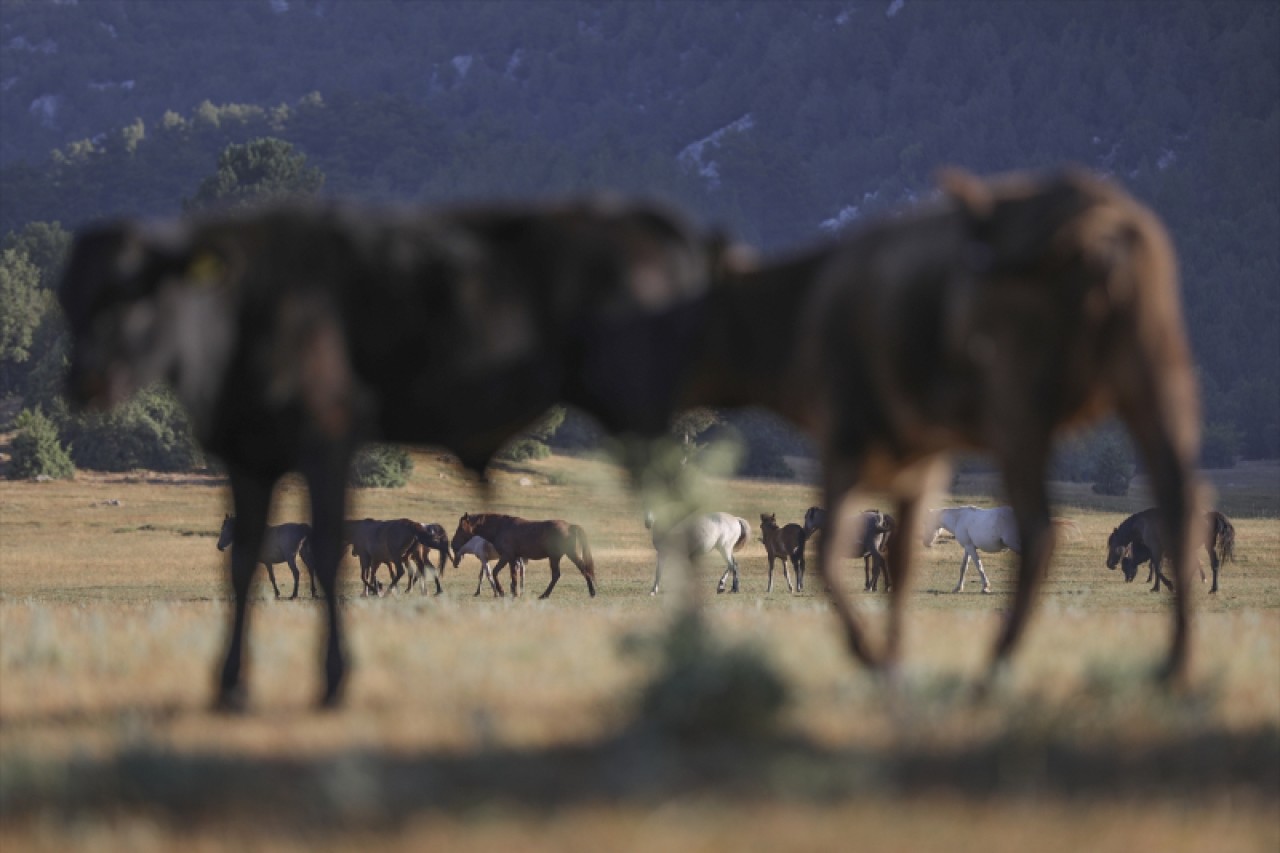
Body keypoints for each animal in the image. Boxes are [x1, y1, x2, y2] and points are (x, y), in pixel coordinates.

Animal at [450, 512, 593, 596]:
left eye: (460, 528)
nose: (453, 544)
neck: (501, 527)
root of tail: (570, 526)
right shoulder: (512, 558)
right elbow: (513, 576)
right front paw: (514, 593)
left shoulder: (506, 556)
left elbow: (495, 572)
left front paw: (502, 591)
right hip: (556, 557)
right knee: (559, 575)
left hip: (564, 555)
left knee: (579, 570)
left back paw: (591, 592)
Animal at [1105, 504, 1233, 591]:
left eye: (1112, 544)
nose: (1109, 564)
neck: (1142, 524)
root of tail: (1209, 515)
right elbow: (1157, 567)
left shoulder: (1156, 549)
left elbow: (1157, 568)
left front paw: (1161, 586)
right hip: (1208, 546)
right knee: (1214, 564)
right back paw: (1213, 589)